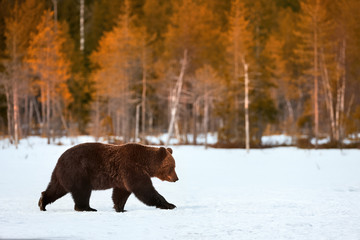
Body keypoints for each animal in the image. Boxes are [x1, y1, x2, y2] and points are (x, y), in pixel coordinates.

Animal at [38, 142, 178, 212]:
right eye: (172, 166)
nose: (176, 178)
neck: (145, 163)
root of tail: (60, 159)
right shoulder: (131, 168)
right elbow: (144, 190)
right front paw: (170, 204)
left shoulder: (123, 177)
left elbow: (120, 193)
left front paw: (120, 208)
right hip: (79, 171)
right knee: (82, 192)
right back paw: (87, 208)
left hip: (63, 175)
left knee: (55, 189)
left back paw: (42, 203)